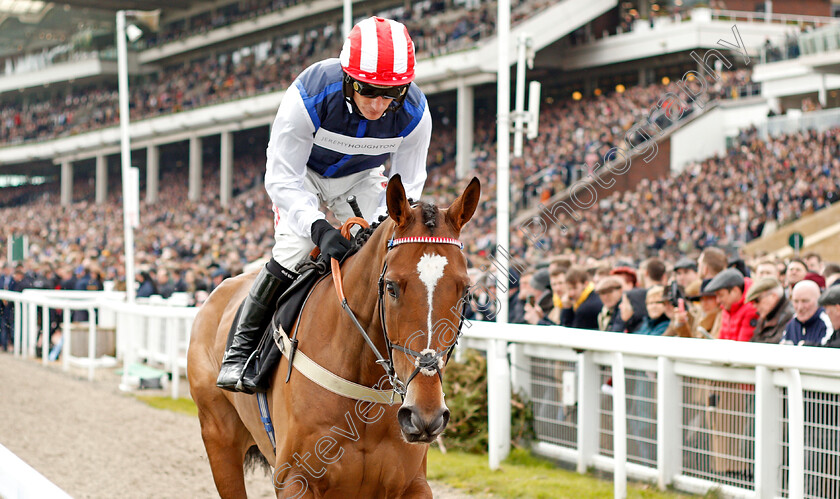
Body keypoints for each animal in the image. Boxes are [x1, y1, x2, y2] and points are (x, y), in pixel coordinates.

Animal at [188, 174, 482, 498]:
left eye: (465, 289)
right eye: (391, 287)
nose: (424, 415)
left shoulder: (411, 483)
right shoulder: (294, 480)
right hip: (219, 437)